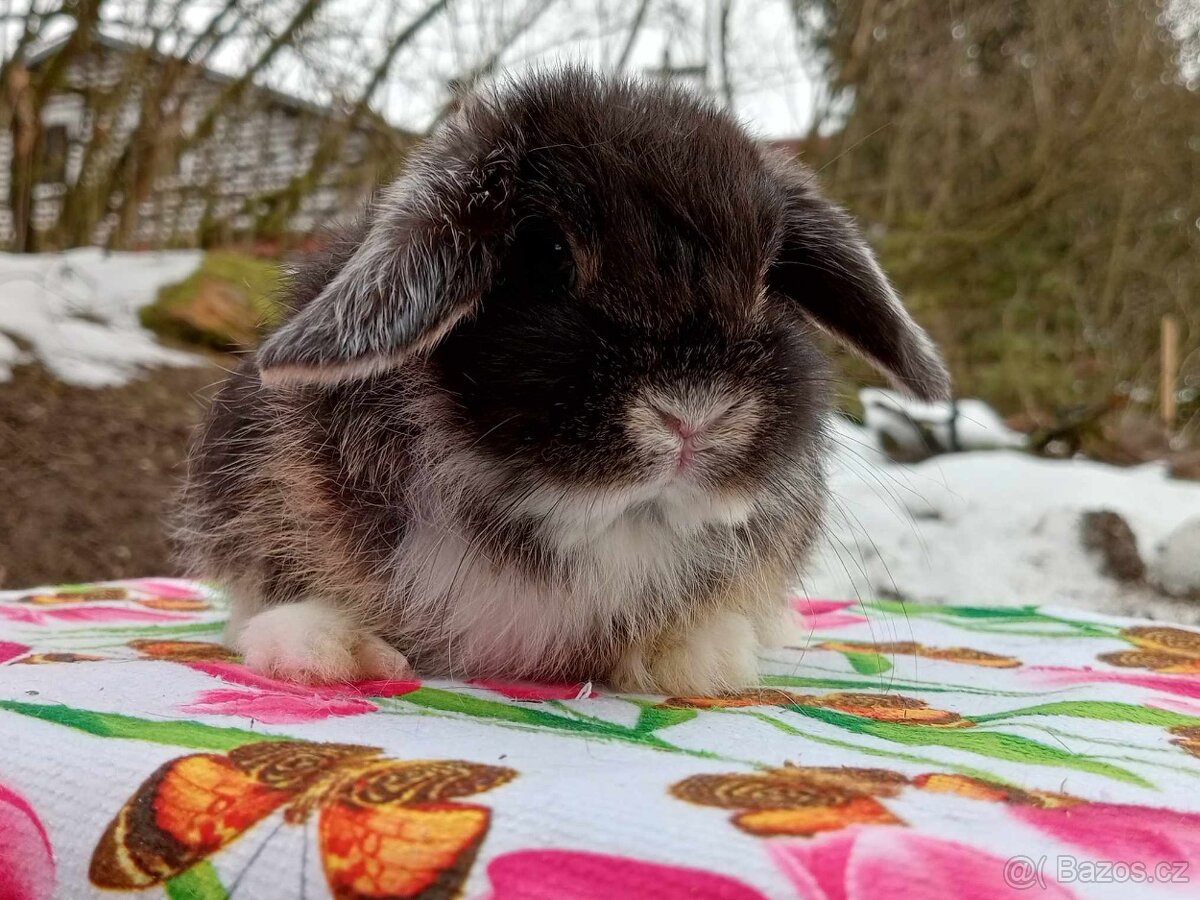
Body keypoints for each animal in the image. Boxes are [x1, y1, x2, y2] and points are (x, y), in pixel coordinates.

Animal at [177, 68, 945, 696]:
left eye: (769, 278)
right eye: (547, 254)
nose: (693, 415)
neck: (587, 521)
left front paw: (698, 655)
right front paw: (327, 646)